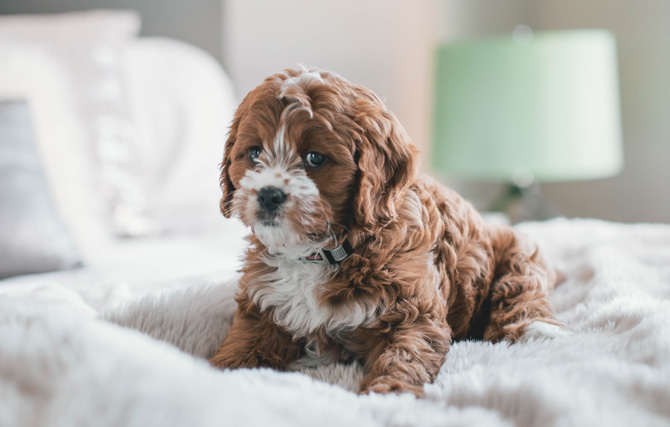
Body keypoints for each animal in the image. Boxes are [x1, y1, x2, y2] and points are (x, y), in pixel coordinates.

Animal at [211, 66, 568, 398]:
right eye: (254, 153)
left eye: (314, 158)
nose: (268, 195)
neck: (321, 251)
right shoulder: (261, 307)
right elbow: (243, 346)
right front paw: (214, 372)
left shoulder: (412, 310)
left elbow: (404, 355)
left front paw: (387, 395)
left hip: (519, 249)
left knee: (522, 287)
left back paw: (537, 331)